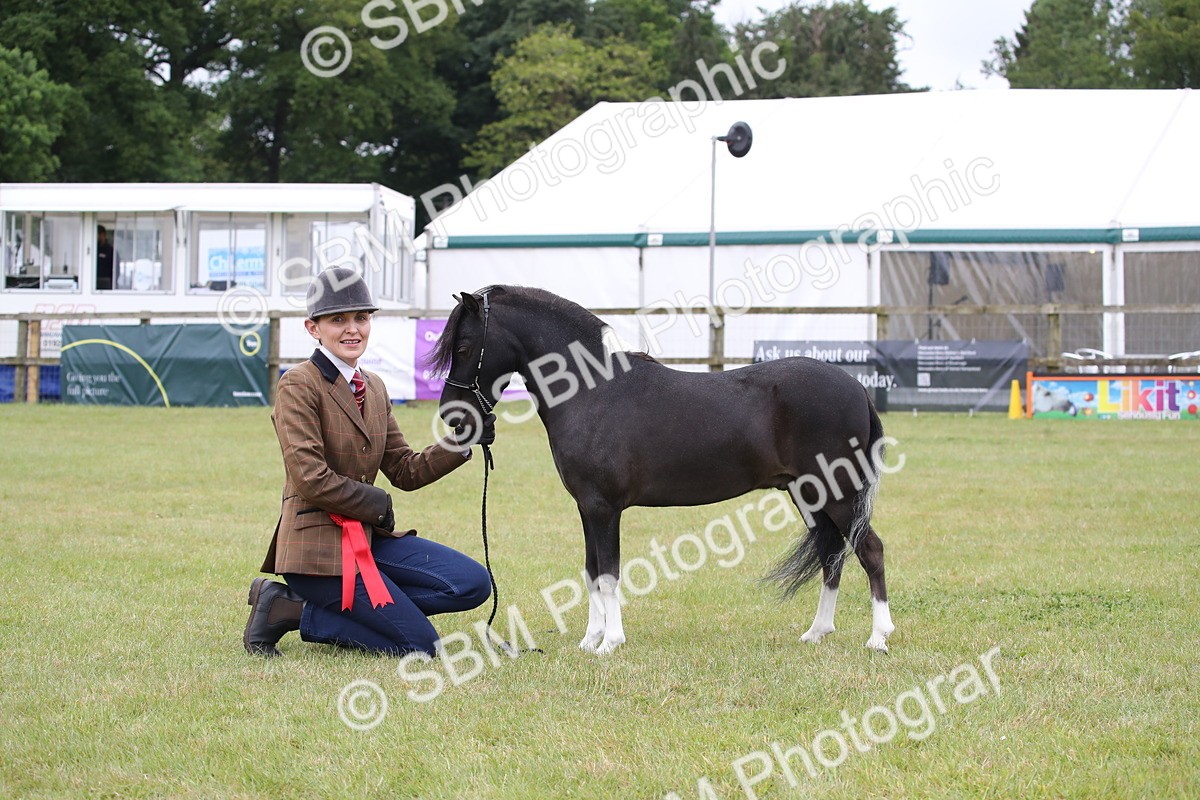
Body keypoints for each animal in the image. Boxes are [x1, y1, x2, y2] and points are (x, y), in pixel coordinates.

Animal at [428, 285, 895, 655]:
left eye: (465, 347)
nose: (453, 417)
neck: (594, 391)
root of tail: (856, 388)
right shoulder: (586, 508)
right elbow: (591, 572)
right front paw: (589, 640)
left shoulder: (603, 508)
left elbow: (609, 574)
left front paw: (610, 643)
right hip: (810, 494)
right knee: (832, 555)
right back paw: (817, 632)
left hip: (839, 493)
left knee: (869, 550)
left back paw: (878, 638)